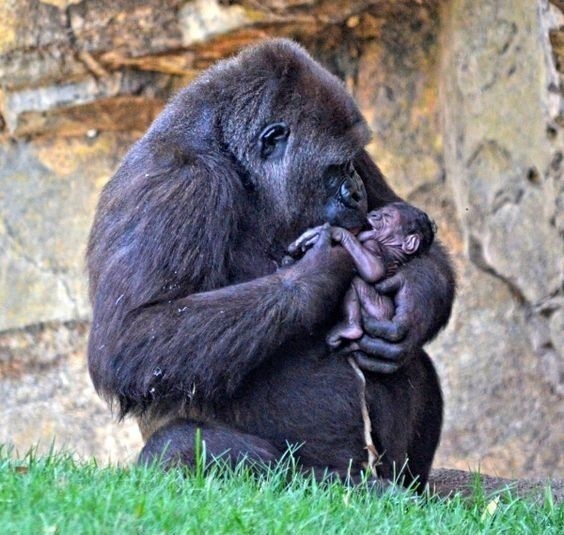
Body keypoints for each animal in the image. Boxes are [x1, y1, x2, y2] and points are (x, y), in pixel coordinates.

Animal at [288, 201, 438, 352]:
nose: (373, 214)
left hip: (378, 311)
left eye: (387, 216)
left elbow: (374, 271)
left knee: (353, 282)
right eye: (380, 210)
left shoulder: (374, 245)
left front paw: (336, 232)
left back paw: (351, 329)